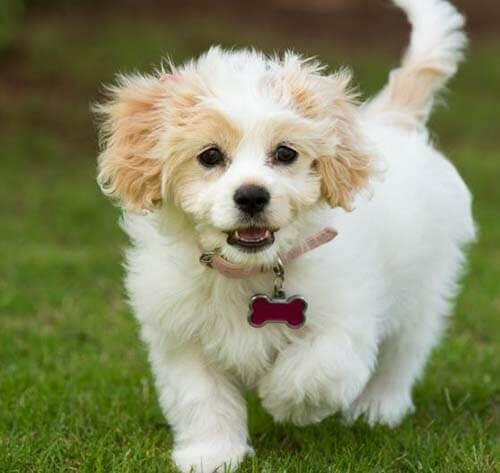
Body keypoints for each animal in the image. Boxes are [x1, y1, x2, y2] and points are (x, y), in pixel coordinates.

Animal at [95, 1, 474, 470]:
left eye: (285, 153)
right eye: (210, 156)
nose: (252, 195)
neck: (249, 271)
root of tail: (392, 122)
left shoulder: (345, 320)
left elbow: (316, 370)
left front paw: (283, 401)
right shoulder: (182, 336)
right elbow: (202, 398)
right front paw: (212, 453)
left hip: (423, 288)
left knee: (403, 354)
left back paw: (378, 407)